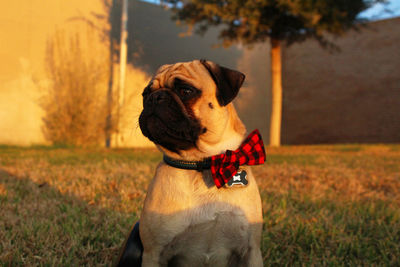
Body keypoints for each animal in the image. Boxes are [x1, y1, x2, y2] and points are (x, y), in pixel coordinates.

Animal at [117, 59, 264, 266]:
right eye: (145, 94)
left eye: (185, 91)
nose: (155, 98)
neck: (202, 164)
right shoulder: (153, 253)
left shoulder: (251, 251)